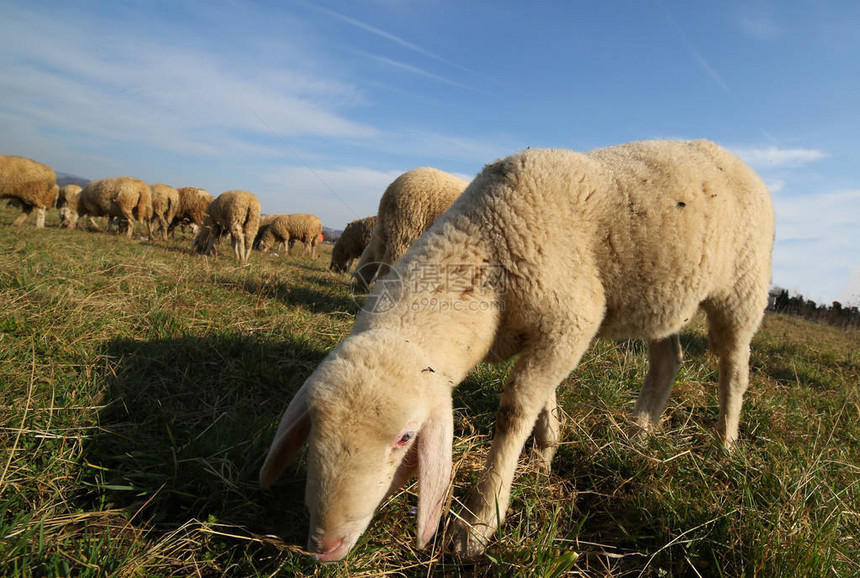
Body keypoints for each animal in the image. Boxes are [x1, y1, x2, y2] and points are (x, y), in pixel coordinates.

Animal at [258, 138, 776, 560]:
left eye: (405, 438)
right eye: (314, 427)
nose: (323, 547)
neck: (487, 243)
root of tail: (734, 157)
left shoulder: (570, 322)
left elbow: (514, 410)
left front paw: (480, 523)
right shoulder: (547, 335)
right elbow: (539, 400)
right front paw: (545, 453)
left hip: (742, 287)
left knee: (734, 368)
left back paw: (725, 444)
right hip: (665, 295)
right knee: (667, 363)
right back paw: (637, 436)